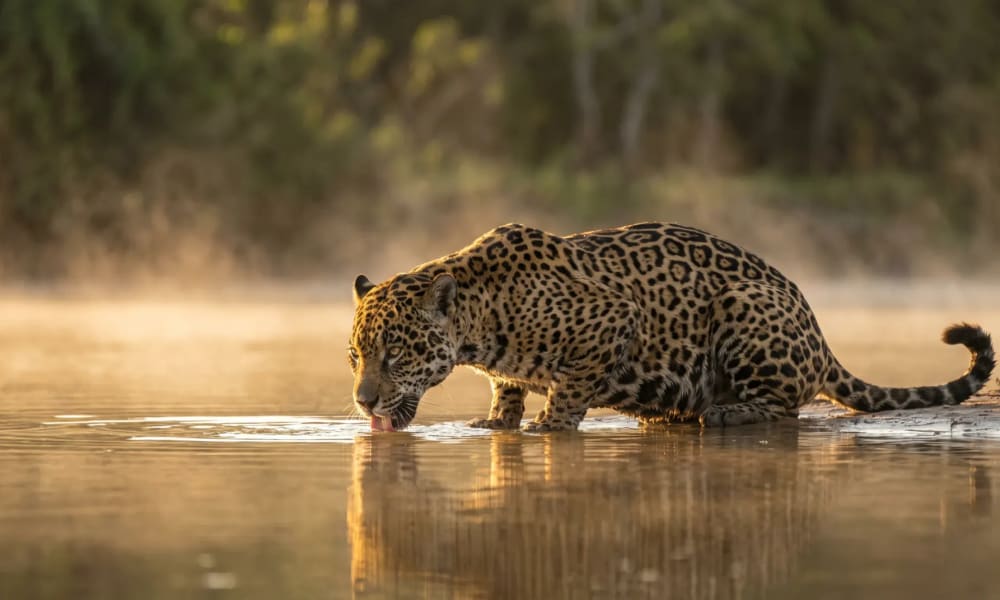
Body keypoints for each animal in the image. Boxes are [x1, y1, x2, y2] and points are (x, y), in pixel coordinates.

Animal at [348, 222, 995, 432]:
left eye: (396, 354)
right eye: (356, 357)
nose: (363, 402)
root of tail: (821, 334)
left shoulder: (611, 320)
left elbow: (569, 392)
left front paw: (547, 427)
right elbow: (506, 388)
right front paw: (496, 422)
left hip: (742, 306)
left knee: (786, 407)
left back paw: (725, 412)